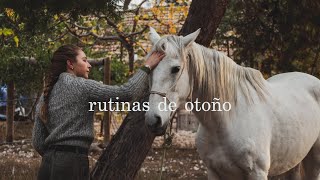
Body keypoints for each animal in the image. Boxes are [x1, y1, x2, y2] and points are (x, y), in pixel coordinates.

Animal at [145, 27, 320, 179]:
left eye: (175, 69)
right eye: (150, 69)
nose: (153, 120)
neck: (227, 120)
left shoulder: (257, 173)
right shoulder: (213, 171)